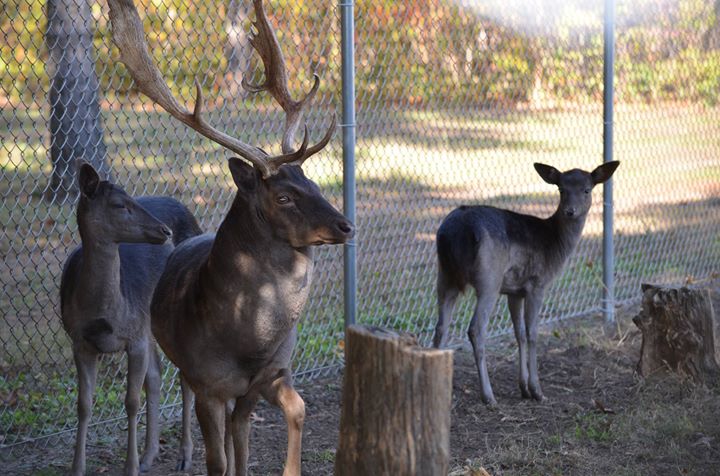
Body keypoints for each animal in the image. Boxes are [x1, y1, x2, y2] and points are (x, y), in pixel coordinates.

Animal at [106, 0, 354, 476]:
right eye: (283, 195)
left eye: (313, 182)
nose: (345, 225)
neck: (247, 341)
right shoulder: (210, 382)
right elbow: (218, 460)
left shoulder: (271, 376)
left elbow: (291, 415)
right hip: (179, 361)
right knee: (182, 395)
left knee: (240, 431)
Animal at [434, 162, 620, 404]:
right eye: (561, 189)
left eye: (587, 190)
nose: (570, 211)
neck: (555, 245)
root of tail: (453, 234)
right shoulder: (537, 284)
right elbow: (532, 333)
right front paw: (537, 390)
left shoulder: (515, 291)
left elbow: (519, 333)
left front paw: (523, 388)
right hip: (489, 279)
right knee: (476, 329)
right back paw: (489, 396)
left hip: (444, 275)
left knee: (441, 327)